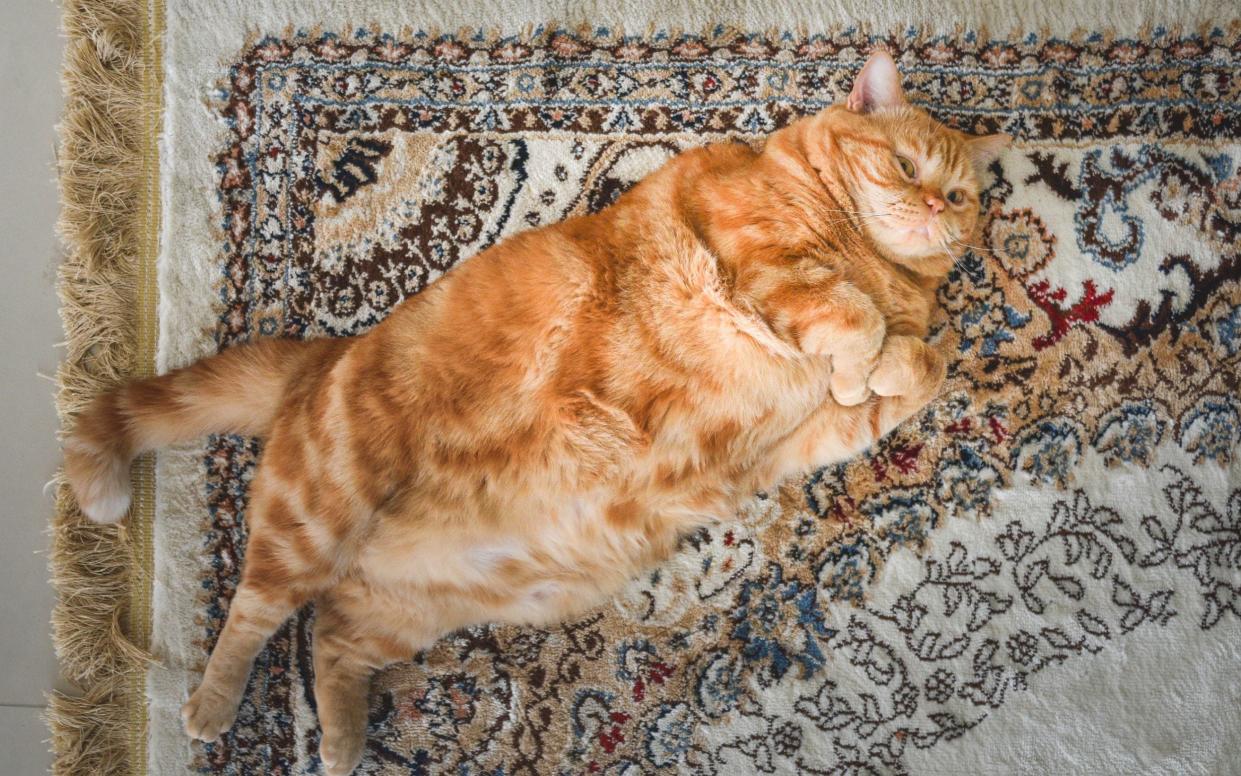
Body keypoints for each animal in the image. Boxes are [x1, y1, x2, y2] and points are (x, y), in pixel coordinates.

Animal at [62, 49, 1002, 774]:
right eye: (906, 168)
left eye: (958, 196)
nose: (932, 207)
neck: (876, 260)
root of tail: (319, 359)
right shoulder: (759, 258)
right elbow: (853, 319)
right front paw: (861, 361)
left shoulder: (792, 446)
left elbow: (920, 365)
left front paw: (896, 365)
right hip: (317, 514)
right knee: (255, 613)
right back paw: (214, 708)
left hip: (407, 610)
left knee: (330, 642)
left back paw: (342, 743)